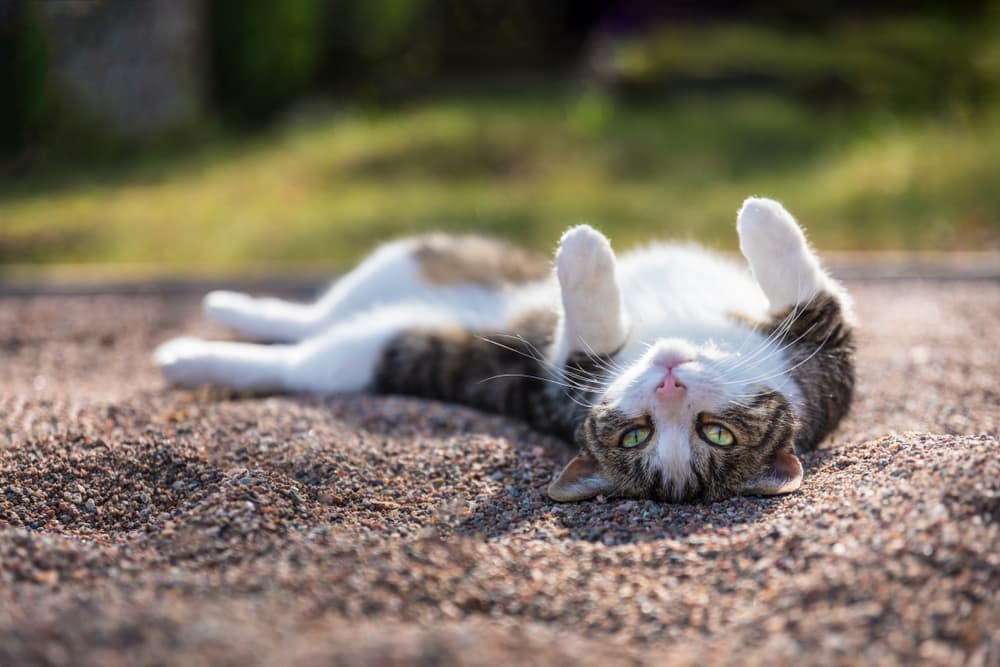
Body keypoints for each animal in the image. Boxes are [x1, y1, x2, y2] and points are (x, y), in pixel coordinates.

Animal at [154, 198, 852, 500]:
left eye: (715, 435)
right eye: (636, 436)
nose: (669, 382)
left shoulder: (827, 361)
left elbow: (813, 297)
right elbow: (804, 280)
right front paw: (759, 214)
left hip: (395, 343)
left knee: (310, 353)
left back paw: (190, 356)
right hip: (420, 261)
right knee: (313, 316)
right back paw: (224, 310)